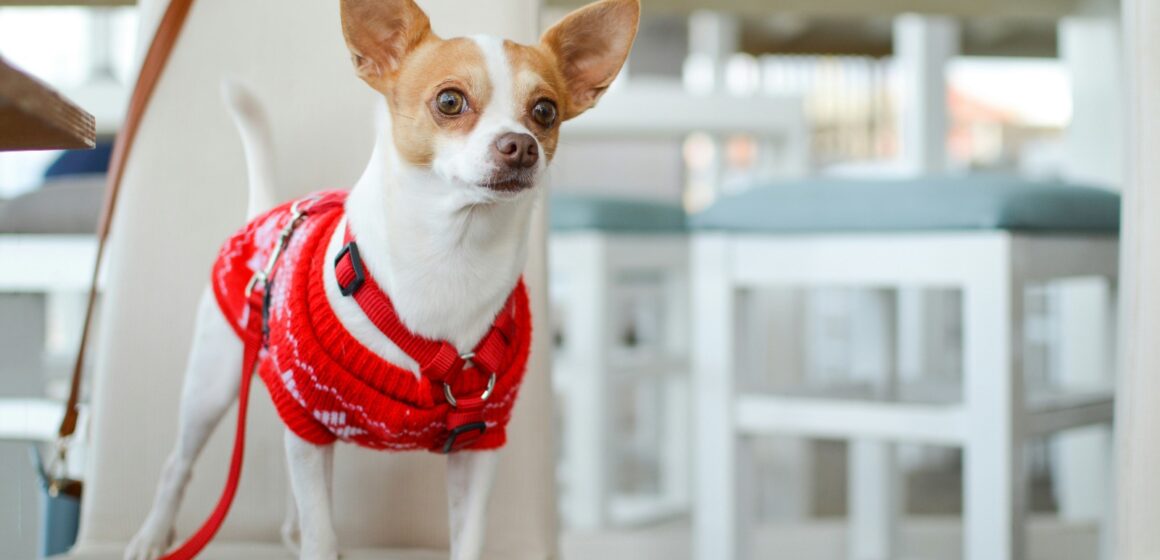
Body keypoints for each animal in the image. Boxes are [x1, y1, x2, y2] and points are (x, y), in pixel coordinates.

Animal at [127, 1, 640, 560]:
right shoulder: (308, 418)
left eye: (545, 111)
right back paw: (152, 536)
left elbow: (466, 537)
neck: (452, 255)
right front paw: (317, 542)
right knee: (179, 464)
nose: (521, 146)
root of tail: (267, 214)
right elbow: (322, 533)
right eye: (450, 101)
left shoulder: (477, 445)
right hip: (212, 383)